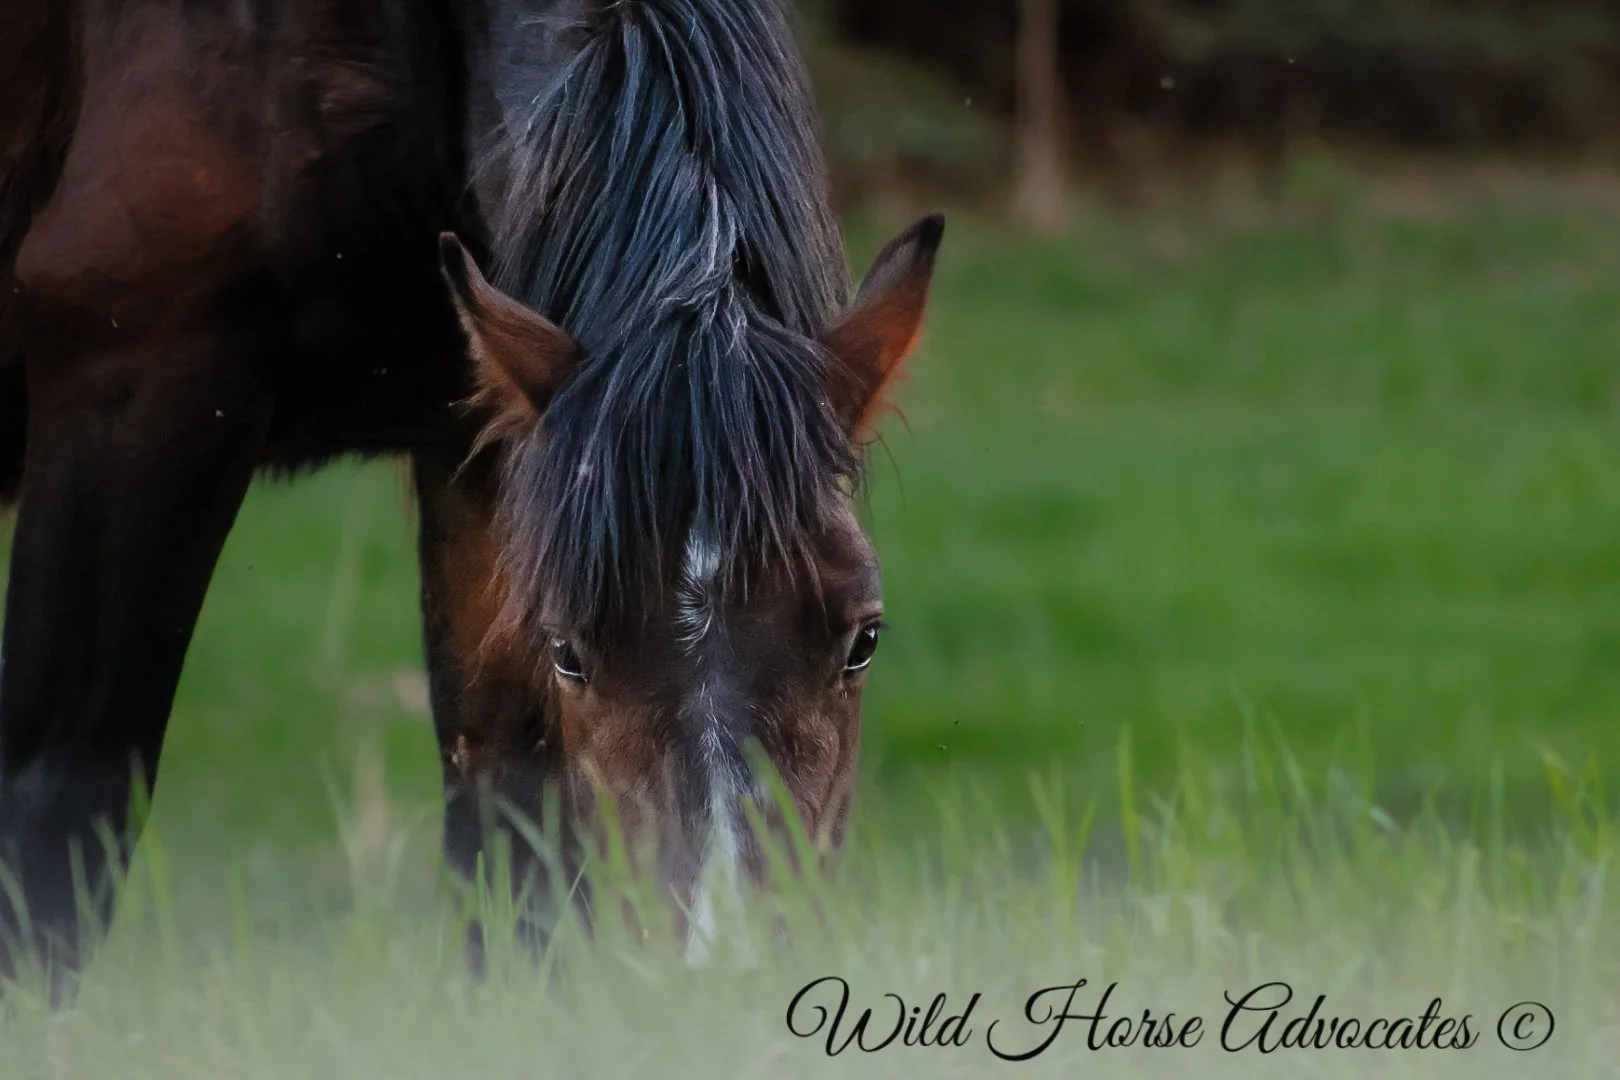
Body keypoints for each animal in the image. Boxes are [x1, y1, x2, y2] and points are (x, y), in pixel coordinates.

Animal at [0, 0, 943, 999]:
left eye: (863, 639)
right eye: (569, 651)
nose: (724, 969)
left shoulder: (480, 444)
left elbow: (510, 833)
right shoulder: (131, 380)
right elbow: (54, 817)